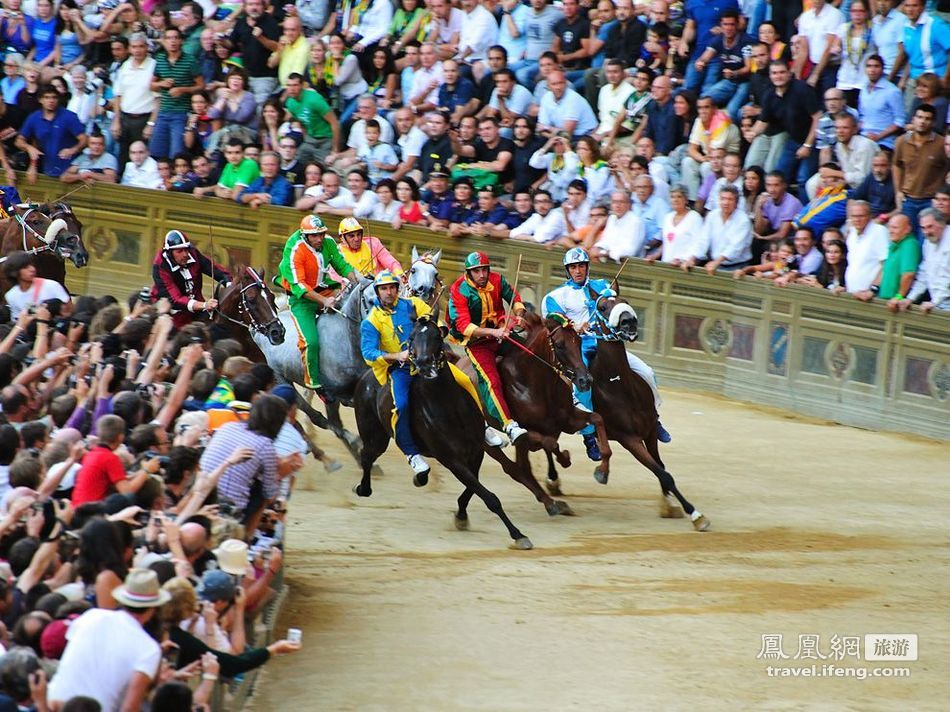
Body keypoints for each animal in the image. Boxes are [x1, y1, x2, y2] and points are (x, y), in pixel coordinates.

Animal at [352, 312, 536, 552]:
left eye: (436, 337)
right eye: (411, 338)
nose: (423, 364)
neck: (448, 407)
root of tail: (365, 377)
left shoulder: (476, 451)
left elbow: (473, 489)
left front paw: (461, 514)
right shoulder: (450, 458)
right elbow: (488, 496)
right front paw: (518, 534)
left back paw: (420, 476)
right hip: (376, 436)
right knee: (367, 455)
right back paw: (367, 487)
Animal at [568, 286, 712, 532]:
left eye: (625, 300)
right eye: (602, 307)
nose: (629, 321)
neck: (618, 387)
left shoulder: (650, 431)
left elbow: (661, 467)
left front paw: (669, 504)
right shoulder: (629, 439)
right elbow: (662, 472)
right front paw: (695, 515)